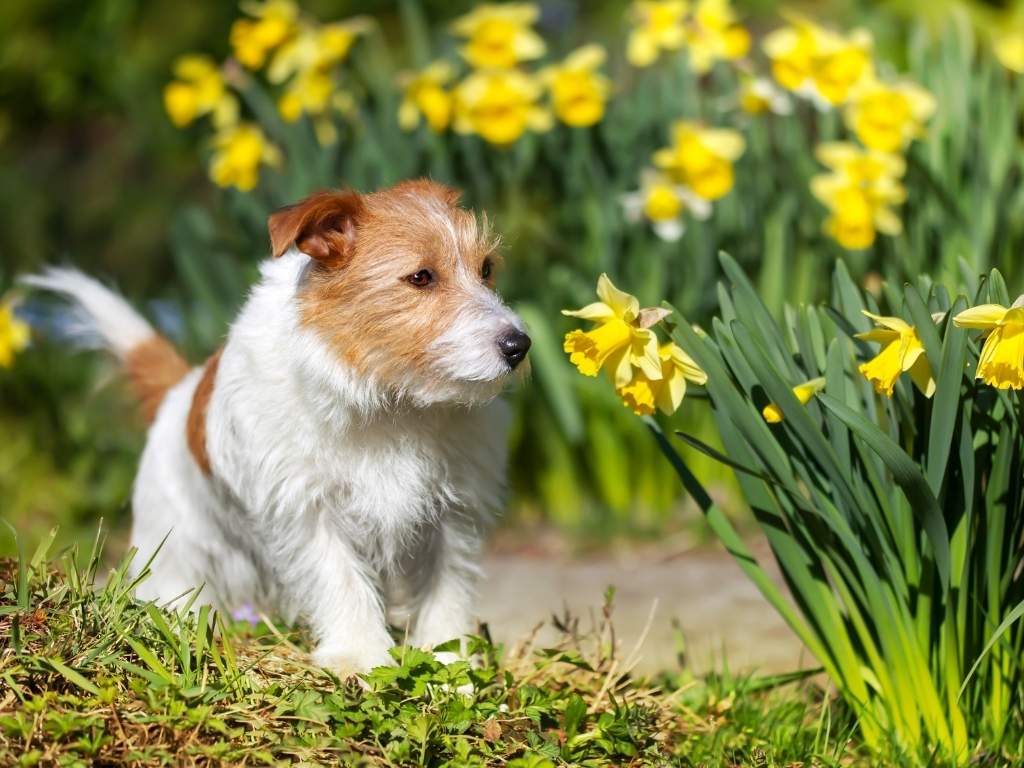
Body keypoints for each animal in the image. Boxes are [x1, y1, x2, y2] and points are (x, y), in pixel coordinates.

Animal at [28, 180, 532, 671]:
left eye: (486, 269)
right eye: (421, 277)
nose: (519, 345)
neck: (391, 398)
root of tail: (178, 391)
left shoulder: (452, 514)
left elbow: (446, 589)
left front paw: (449, 659)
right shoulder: (307, 509)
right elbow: (340, 580)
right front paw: (359, 655)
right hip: (173, 558)